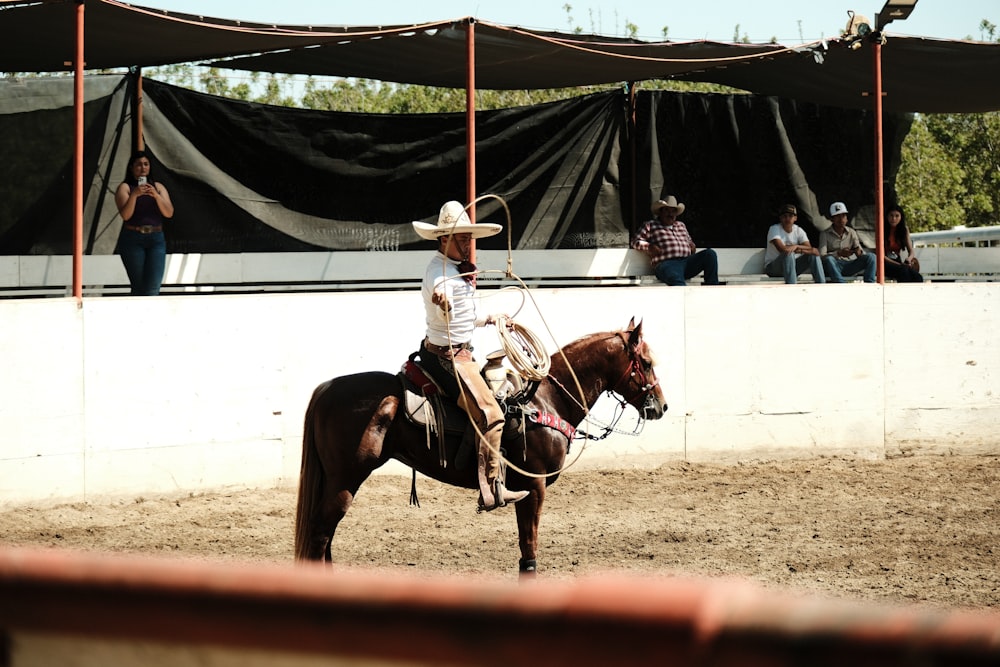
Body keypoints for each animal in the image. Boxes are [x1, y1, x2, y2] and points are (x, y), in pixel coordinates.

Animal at [294, 318, 664, 576]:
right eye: (646, 363)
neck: (547, 401)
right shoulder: (534, 486)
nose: (661, 406)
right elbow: (529, 546)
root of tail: (327, 388)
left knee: (324, 535)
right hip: (345, 479)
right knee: (321, 533)